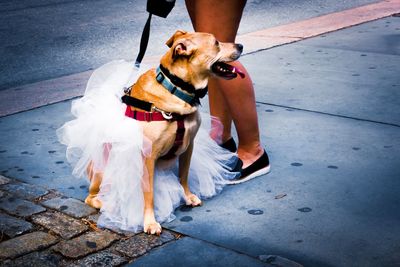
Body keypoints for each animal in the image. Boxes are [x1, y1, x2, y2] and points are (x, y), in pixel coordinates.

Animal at [83, 29, 244, 234]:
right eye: (216, 43)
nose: (241, 45)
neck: (176, 88)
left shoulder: (188, 146)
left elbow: (183, 176)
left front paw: (187, 196)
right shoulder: (148, 157)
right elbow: (149, 193)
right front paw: (150, 222)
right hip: (103, 170)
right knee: (92, 197)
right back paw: (107, 204)